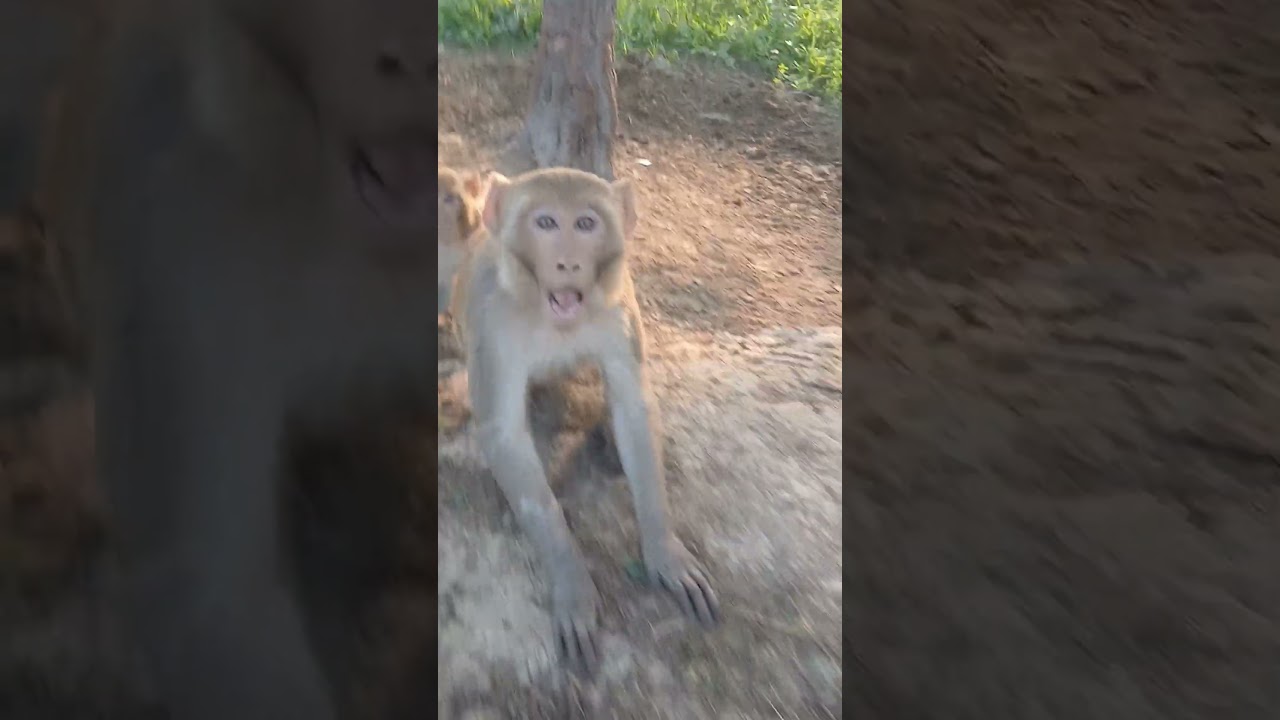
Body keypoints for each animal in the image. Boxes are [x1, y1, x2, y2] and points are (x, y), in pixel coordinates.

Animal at [451, 167, 721, 673]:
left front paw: (665, 551)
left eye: (585, 224)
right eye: (546, 222)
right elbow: (505, 434)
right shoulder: (494, 320)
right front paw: (572, 585)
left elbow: (633, 406)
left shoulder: (618, 303)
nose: (569, 264)